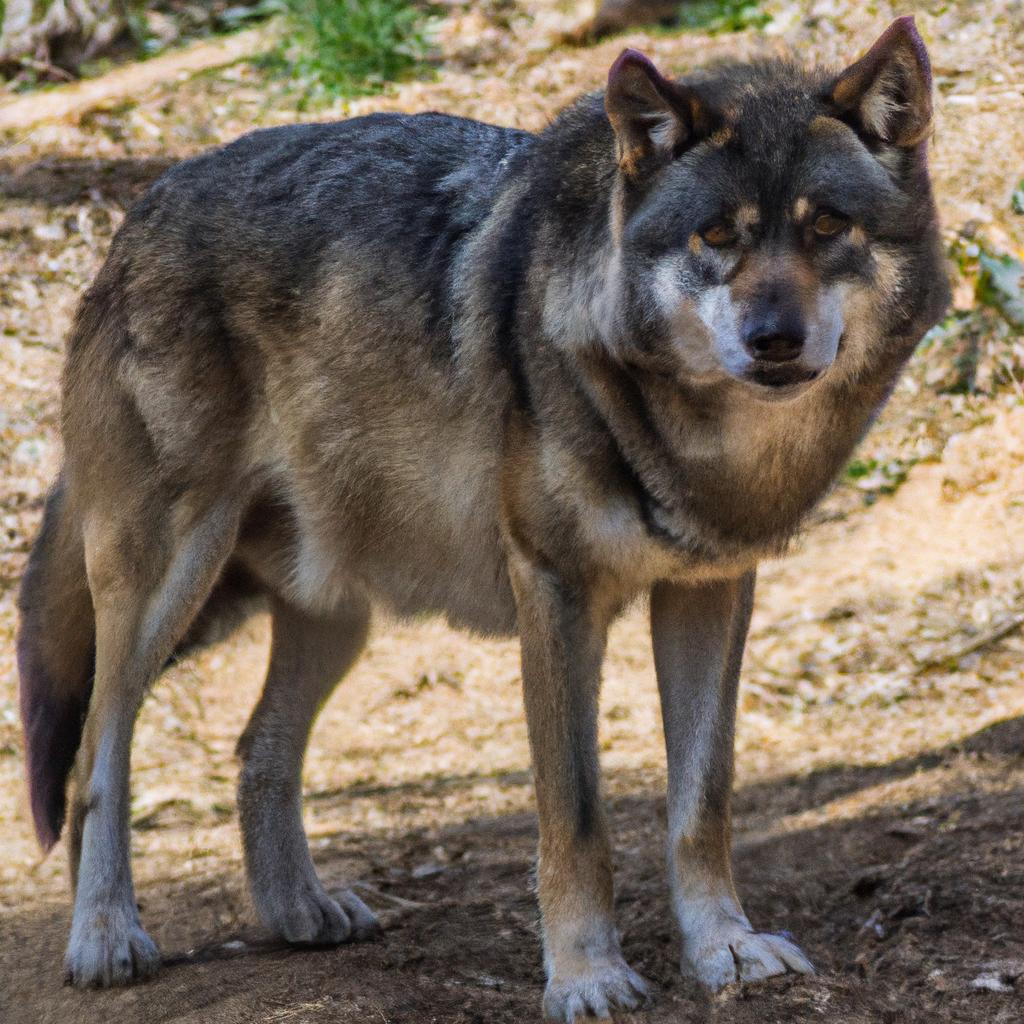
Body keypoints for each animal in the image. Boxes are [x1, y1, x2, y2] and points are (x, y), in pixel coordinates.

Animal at [18, 16, 947, 1020]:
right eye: (715, 236)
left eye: (827, 226)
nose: (773, 339)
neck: (699, 442)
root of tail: (137, 215)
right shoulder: (556, 595)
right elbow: (576, 820)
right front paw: (588, 977)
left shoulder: (710, 590)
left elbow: (702, 804)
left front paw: (723, 948)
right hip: (167, 584)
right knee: (95, 756)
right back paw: (106, 937)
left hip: (334, 609)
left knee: (258, 747)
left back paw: (299, 910)